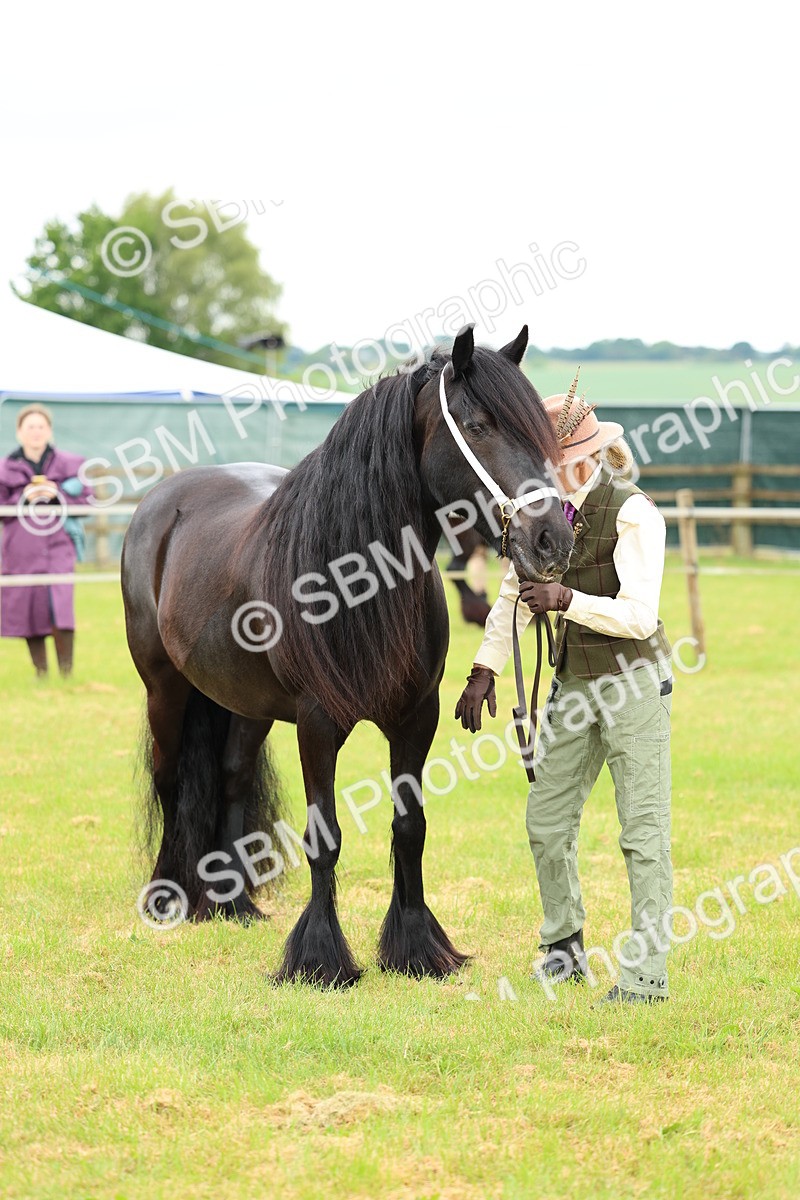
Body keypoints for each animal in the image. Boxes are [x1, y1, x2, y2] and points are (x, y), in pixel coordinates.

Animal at [121, 324, 574, 987]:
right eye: (479, 424)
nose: (552, 539)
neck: (356, 579)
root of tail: (163, 500)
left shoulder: (416, 718)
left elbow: (409, 827)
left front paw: (417, 950)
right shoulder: (317, 723)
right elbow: (325, 836)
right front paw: (320, 959)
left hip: (246, 704)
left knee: (231, 778)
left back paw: (234, 904)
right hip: (165, 689)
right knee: (170, 778)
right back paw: (166, 898)